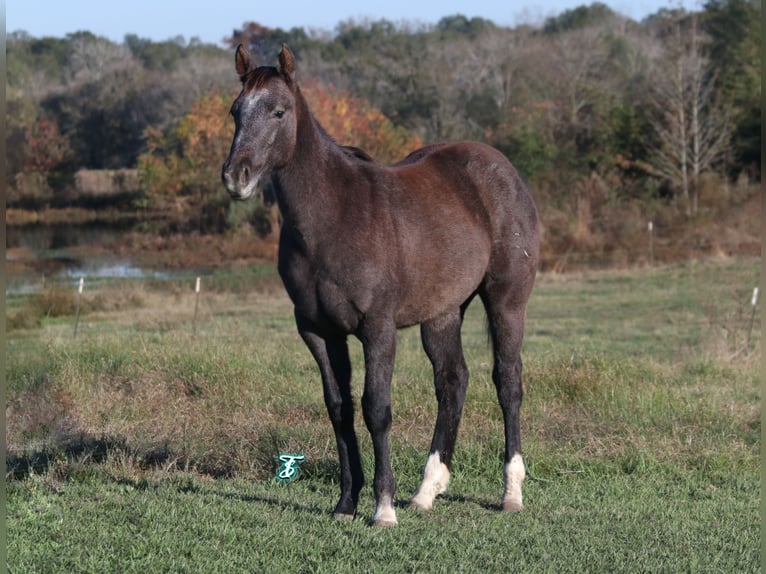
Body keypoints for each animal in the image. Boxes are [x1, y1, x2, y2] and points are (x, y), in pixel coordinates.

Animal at [222, 44, 544, 532]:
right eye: (235, 110)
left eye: (279, 111)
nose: (235, 176)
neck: (335, 217)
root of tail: (502, 168)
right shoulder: (318, 331)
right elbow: (339, 408)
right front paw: (345, 502)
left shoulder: (378, 329)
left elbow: (377, 409)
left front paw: (383, 507)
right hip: (442, 312)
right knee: (453, 381)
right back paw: (427, 491)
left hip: (506, 302)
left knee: (508, 383)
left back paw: (511, 493)